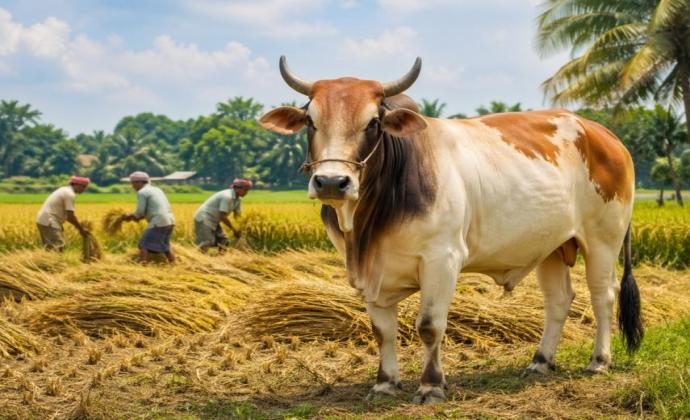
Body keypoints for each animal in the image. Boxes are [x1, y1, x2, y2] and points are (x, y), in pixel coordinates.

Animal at [258, 56, 643, 404]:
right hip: (550, 247)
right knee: (559, 300)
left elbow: (430, 326)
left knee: (603, 296)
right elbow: (382, 331)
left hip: (603, 241)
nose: (331, 182)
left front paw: (431, 387)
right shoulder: (370, 272)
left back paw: (599, 361)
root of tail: (606, 136)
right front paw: (384, 384)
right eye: (311, 120)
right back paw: (540, 362)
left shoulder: (441, 260)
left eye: (373, 122)